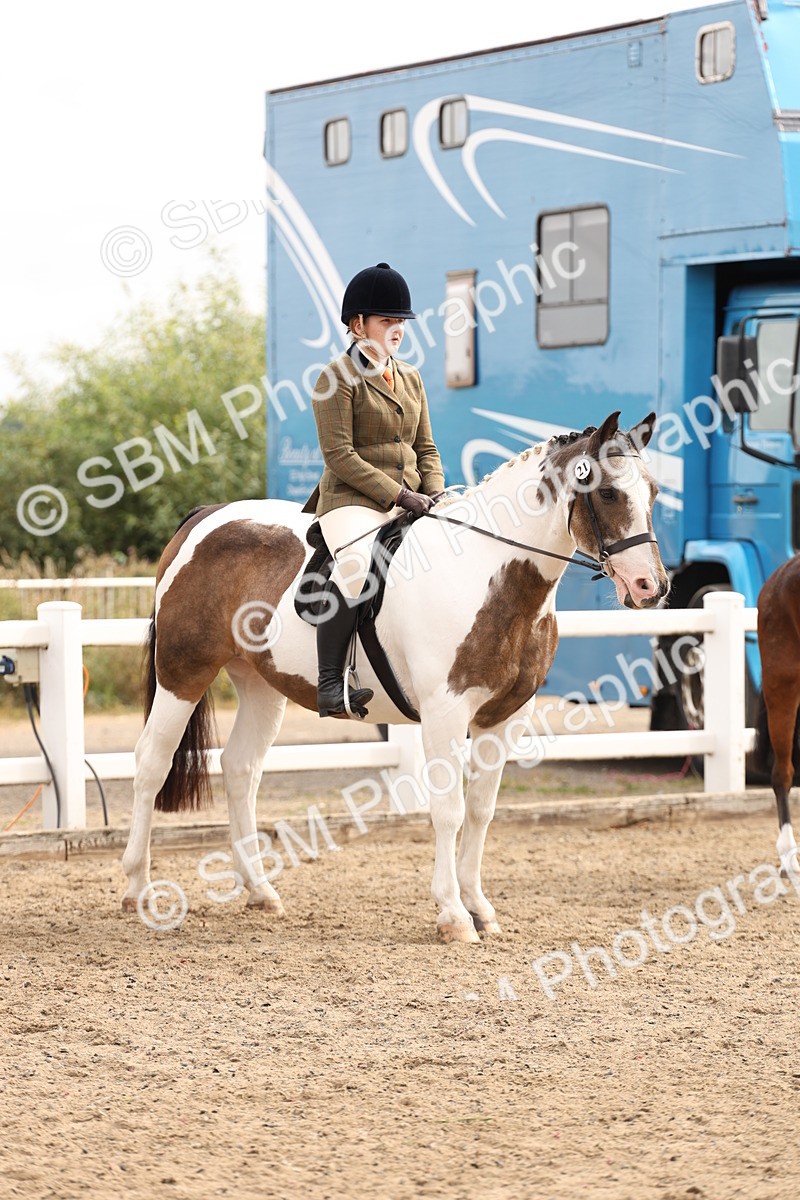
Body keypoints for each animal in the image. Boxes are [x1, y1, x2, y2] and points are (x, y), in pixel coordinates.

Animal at [121, 410, 669, 943]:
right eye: (607, 492)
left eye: (654, 492)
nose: (653, 587)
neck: (486, 572)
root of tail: (204, 517)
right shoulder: (446, 713)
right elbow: (448, 810)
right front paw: (453, 915)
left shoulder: (506, 716)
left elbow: (480, 810)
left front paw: (480, 908)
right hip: (183, 671)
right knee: (152, 764)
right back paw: (139, 890)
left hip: (260, 683)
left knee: (240, 768)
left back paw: (260, 891)